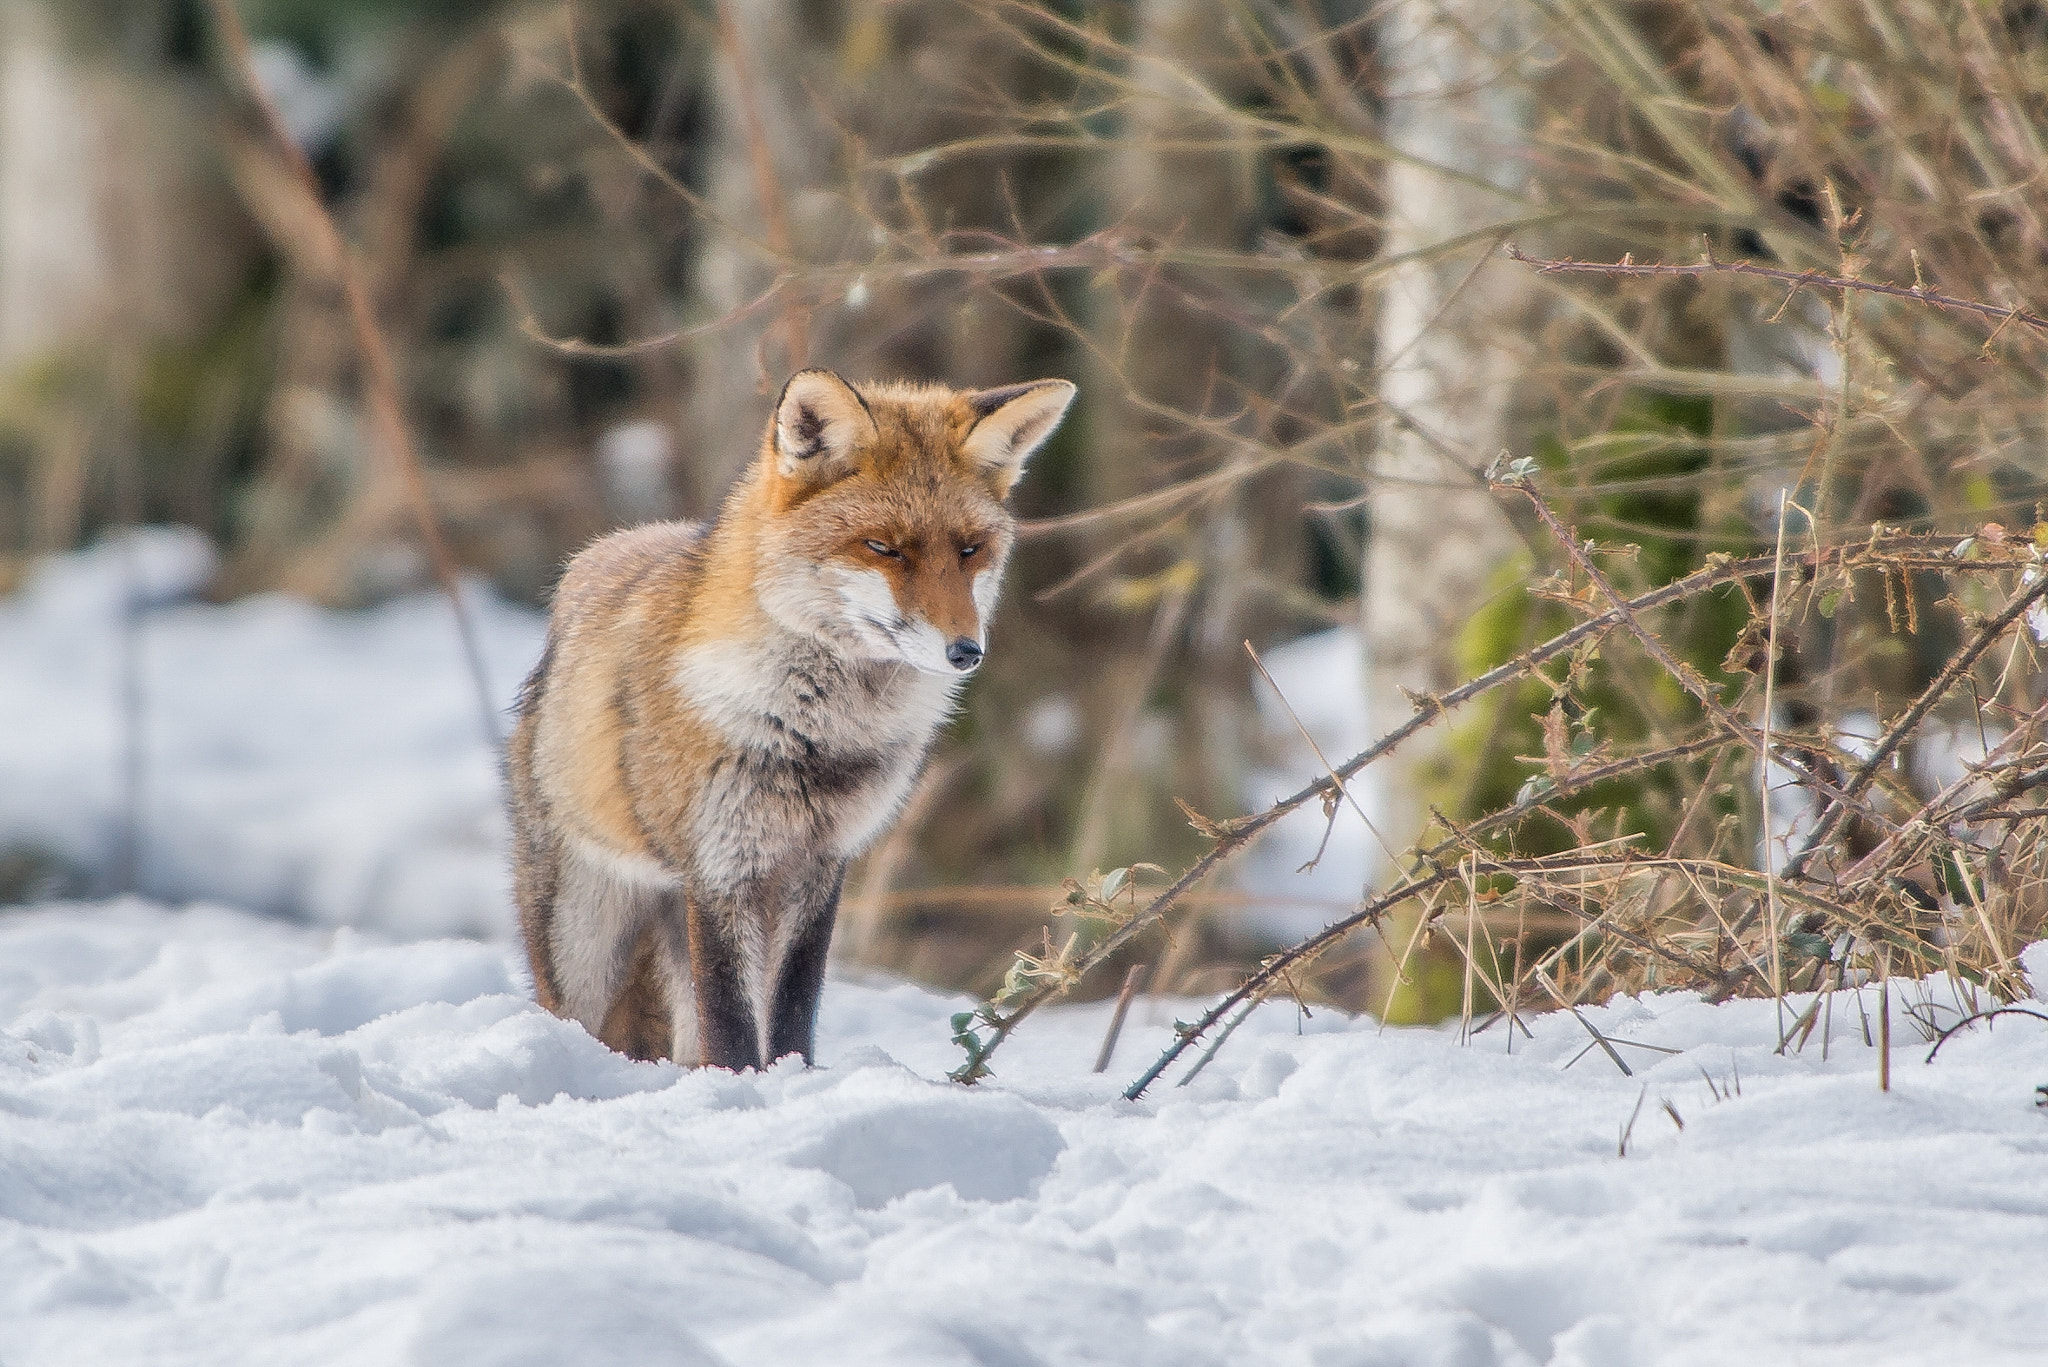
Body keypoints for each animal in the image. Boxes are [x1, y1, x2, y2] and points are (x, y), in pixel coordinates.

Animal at [506, 368, 1075, 1071]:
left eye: (970, 550)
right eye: (883, 548)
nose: (966, 651)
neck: (816, 732)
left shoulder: (821, 863)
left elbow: (793, 1006)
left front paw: (790, 1076)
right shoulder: (721, 868)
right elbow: (731, 1022)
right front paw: (745, 1085)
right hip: (585, 939)